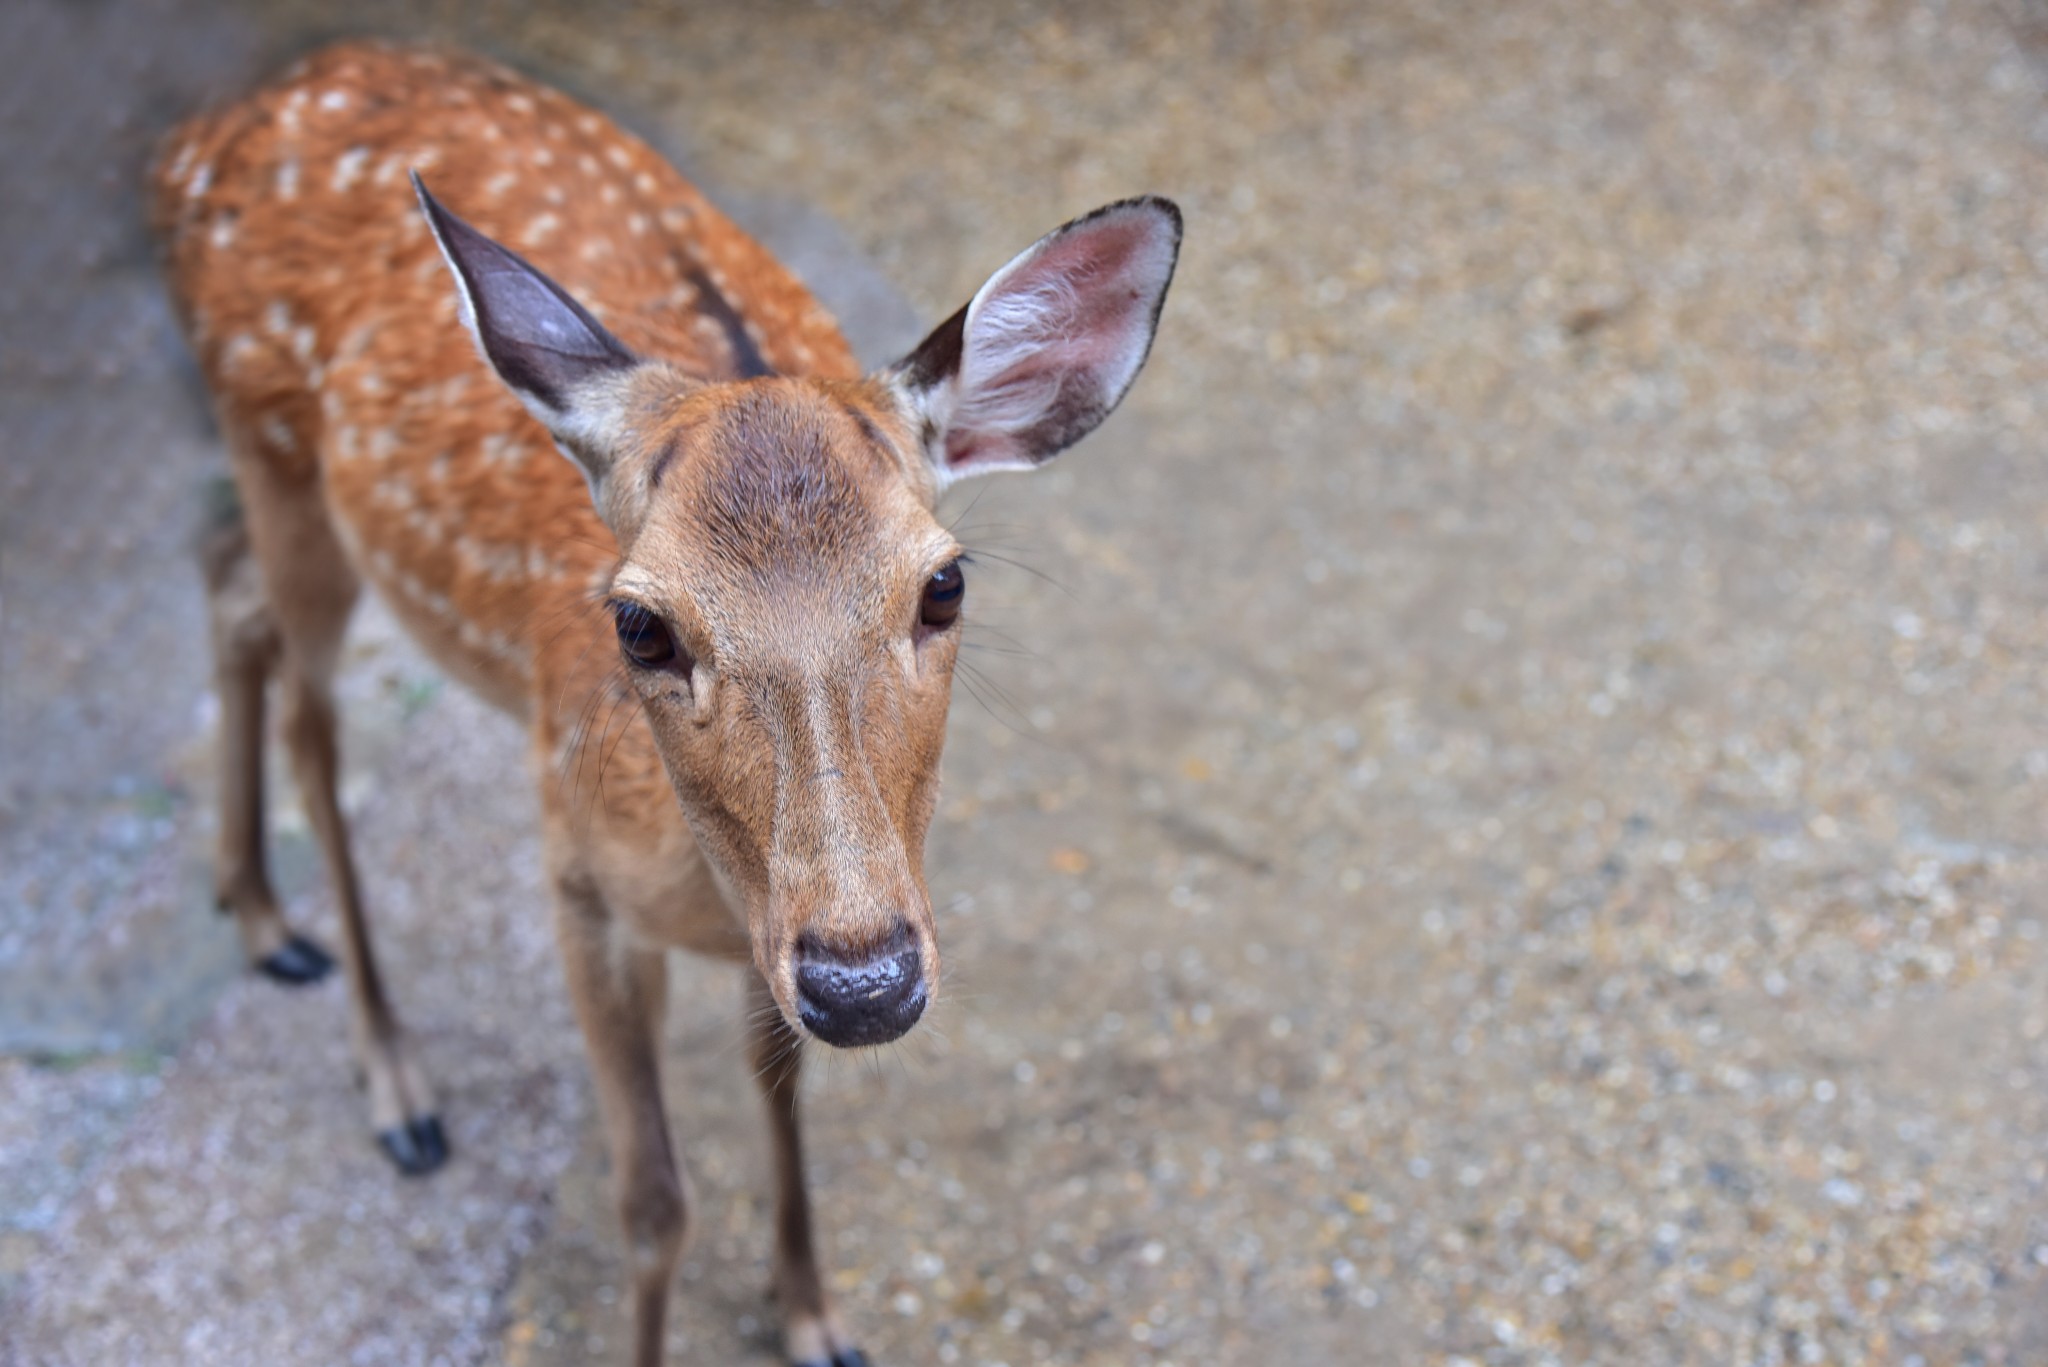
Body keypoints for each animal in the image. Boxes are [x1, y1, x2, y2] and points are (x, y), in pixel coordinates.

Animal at [148, 37, 1187, 1367]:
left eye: (943, 583)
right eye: (639, 623)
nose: (867, 981)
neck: (703, 887)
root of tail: (212, 127)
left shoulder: (772, 930)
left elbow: (779, 1083)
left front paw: (812, 1313)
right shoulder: (575, 878)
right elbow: (652, 1200)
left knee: (225, 579)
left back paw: (259, 914)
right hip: (274, 445)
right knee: (309, 715)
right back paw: (392, 1078)